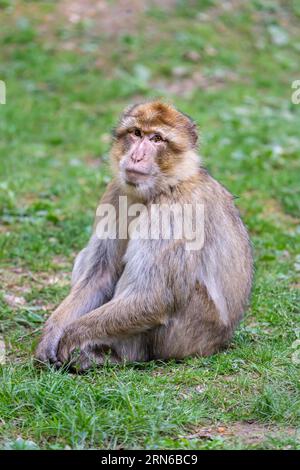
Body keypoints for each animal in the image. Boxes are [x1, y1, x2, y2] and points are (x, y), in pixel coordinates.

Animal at [36, 100, 254, 370]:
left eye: (157, 139)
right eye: (137, 133)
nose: (136, 156)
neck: (164, 186)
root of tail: (218, 344)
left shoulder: (173, 210)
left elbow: (152, 297)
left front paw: (72, 336)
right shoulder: (115, 192)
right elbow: (101, 274)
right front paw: (52, 334)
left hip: (186, 334)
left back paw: (107, 356)